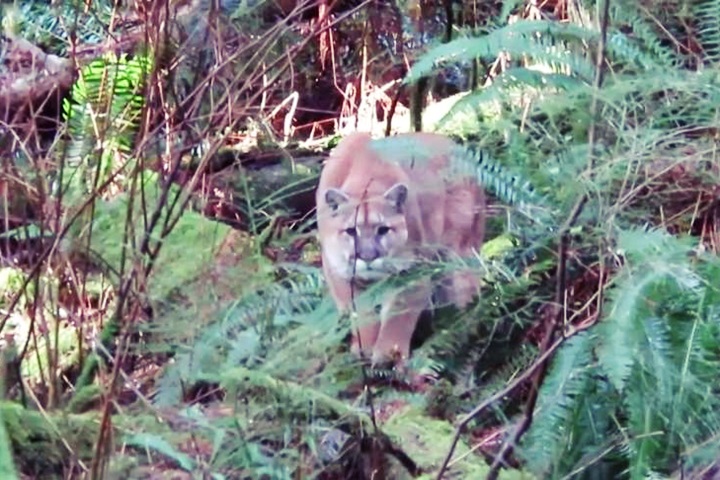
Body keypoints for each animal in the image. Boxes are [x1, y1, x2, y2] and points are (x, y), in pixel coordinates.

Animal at [314, 131, 484, 364]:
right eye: (350, 231)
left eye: (383, 230)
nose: (367, 256)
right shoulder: (341, 274)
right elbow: (363, 315)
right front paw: (365, 348)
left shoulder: (412, 272)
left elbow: (398, 317)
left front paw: (388, 356)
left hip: (460, 252)